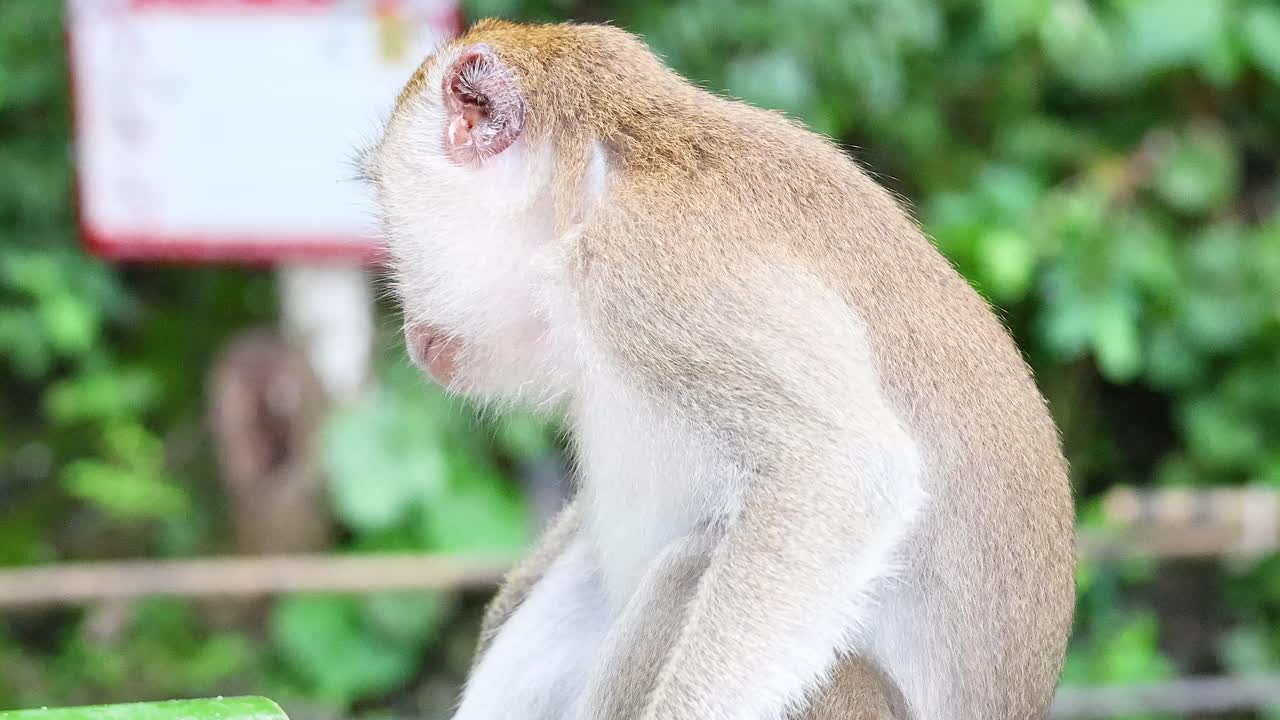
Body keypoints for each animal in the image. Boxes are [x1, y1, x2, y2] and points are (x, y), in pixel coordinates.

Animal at [362, 18, 1076, 720]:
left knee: (692, 568)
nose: (409, 332)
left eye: (392, 214)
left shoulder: (650, 266)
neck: (603, 176)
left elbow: (842, 471)